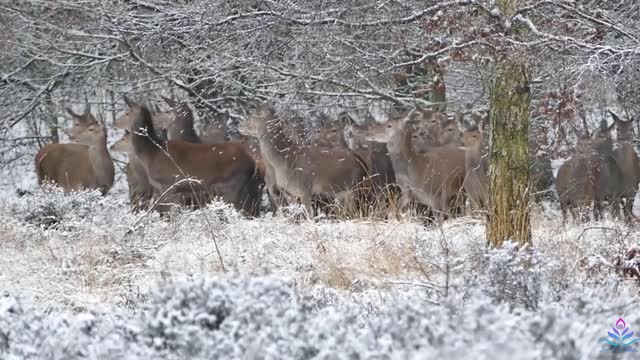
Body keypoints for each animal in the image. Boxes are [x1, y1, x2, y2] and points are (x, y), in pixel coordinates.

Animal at [238, 102, 368, 219]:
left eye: (253, 115)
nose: (240, 126)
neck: (284, 160)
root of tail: (362, 163)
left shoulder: (305, 188)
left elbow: (308, 217)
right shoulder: (288, 192)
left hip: (355, 188)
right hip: (340, 192)